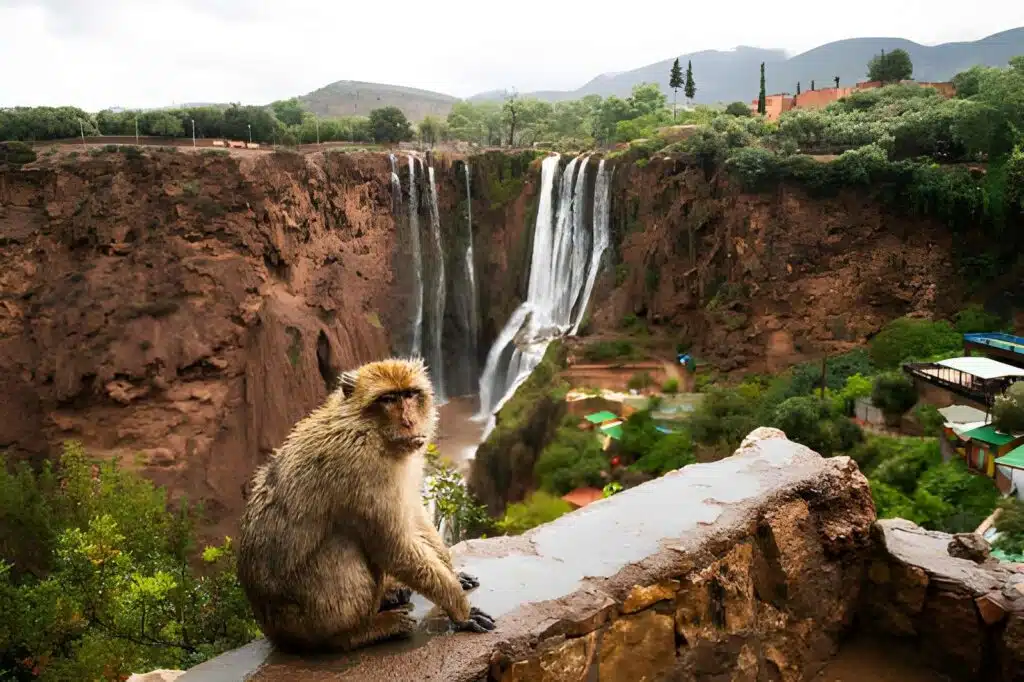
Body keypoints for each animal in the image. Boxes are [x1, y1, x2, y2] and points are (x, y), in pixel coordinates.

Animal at [236, 357, 495, 653]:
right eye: (389, 398)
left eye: (410, 394)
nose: (409, 421)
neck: (369, 428)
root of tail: (272, 630)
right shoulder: (364, 468)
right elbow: (394, 547)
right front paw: (461, 612)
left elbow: (414, 514)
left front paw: (452, 572)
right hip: (303, 623)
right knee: (343, 545)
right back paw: (357, 632)